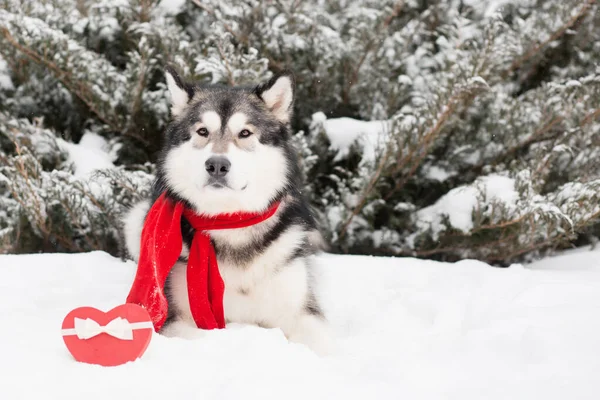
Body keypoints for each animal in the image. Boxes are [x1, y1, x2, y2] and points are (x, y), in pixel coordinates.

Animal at [121, 66, 332, 356]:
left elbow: (323, 345)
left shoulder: (302, 312)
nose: (217, 165)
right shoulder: (176, 319)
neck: (231, 223)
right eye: (202, 131)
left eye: (244, 133)